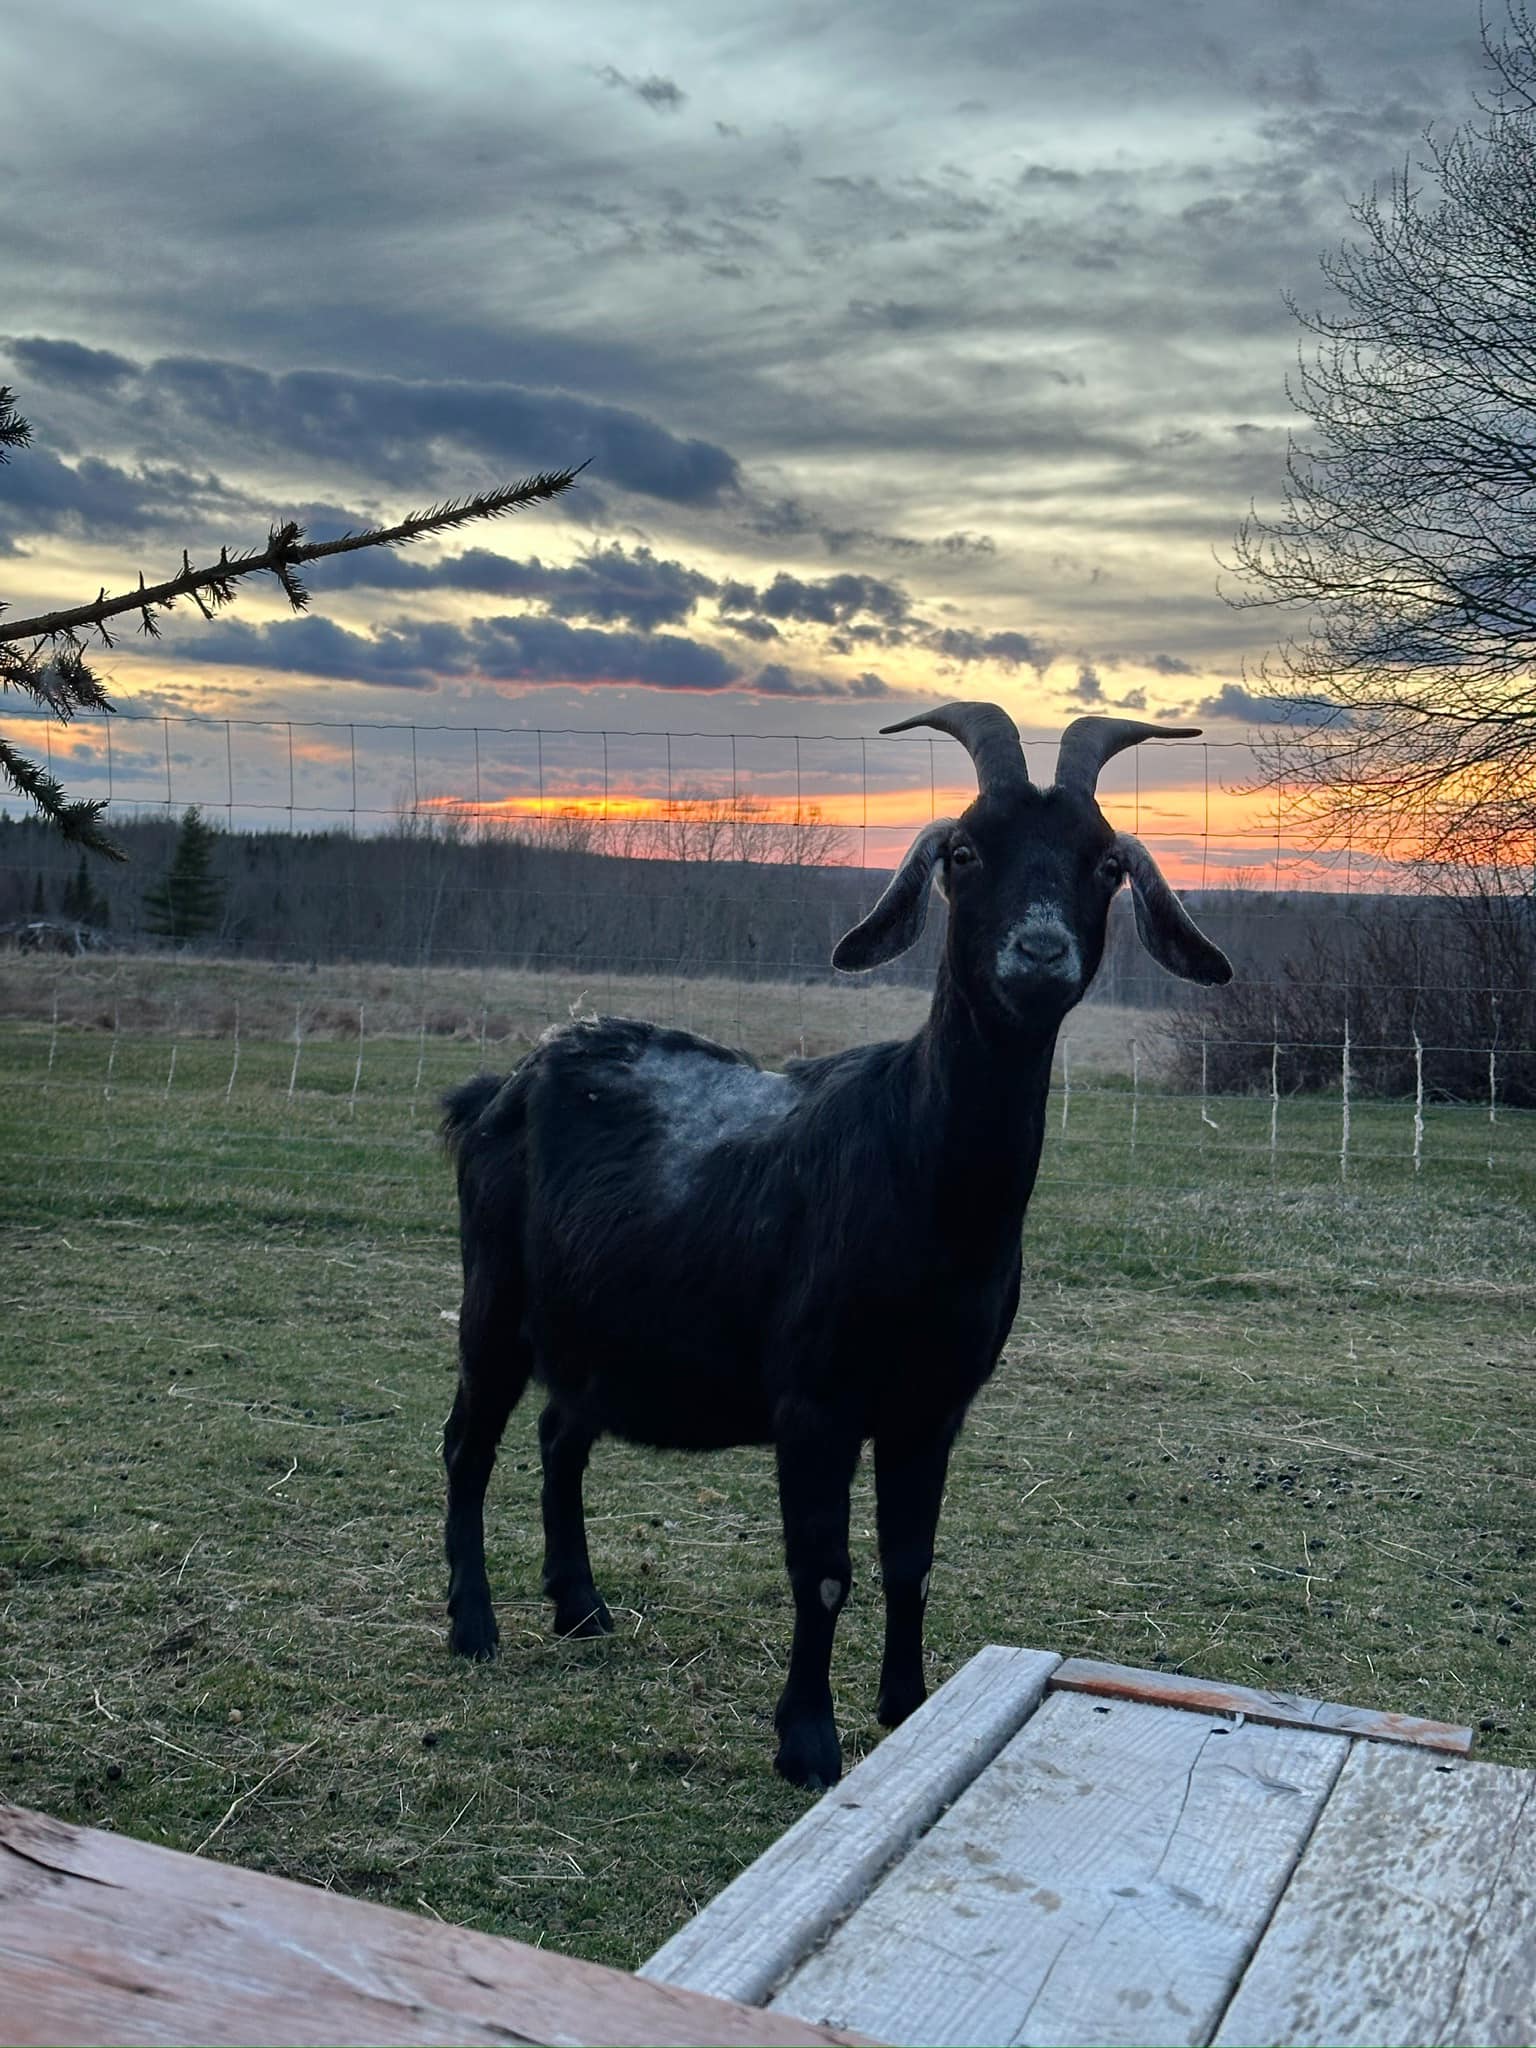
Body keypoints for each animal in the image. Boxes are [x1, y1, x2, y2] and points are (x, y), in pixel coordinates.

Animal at [440, 704, 1230, 1788]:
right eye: (964, 851)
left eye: (1105, 861)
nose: (1038, 954)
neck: (923, 1181)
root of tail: (503, 1085)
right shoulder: (816, 1401)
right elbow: (822, 1570)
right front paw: (808, 1741)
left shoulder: (933, 1406)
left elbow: (911, 1560)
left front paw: (906, 1709)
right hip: (496, 1299)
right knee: (468, 1444)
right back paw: (472, 1625)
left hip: (594, 1325)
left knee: (563, 1436)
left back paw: (583, 1608)